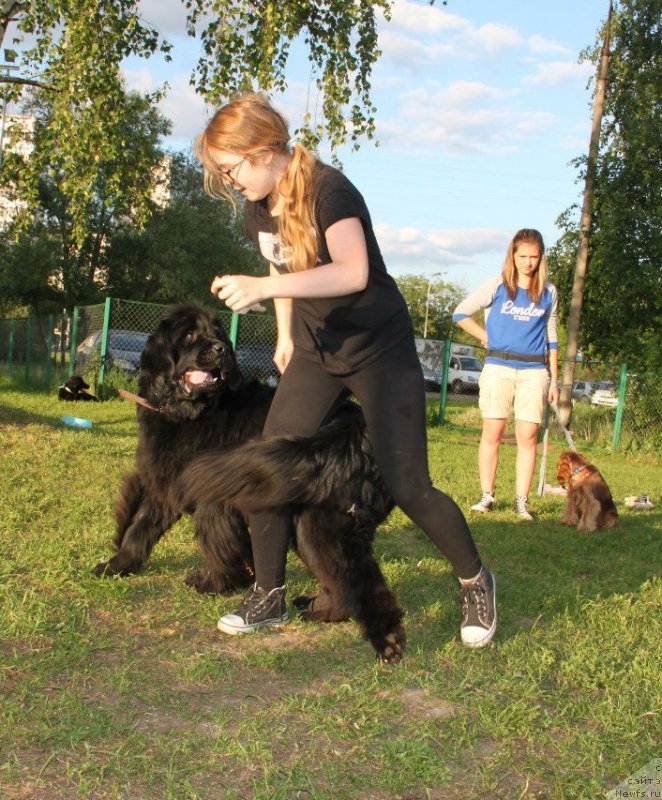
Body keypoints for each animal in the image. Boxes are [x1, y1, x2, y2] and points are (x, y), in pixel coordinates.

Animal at [92, 304, 404, 660]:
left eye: (218, 333)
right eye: (189, 335)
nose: (221, 350)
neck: (192, 412)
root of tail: (358, 432)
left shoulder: (212, 502)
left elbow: (217, 542)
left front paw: (216, 582)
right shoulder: (164, 488)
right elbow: (138, 530)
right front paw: (116, 566)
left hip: (318, 526)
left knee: (351, 584)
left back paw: (353, 626)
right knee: (359, 581)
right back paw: (350, 623)